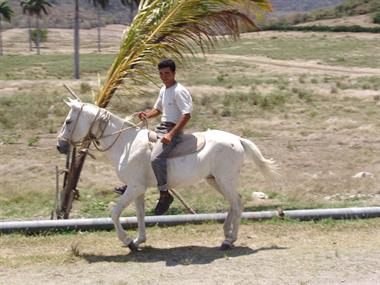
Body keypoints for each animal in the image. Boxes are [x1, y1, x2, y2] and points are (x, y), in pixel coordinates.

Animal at [57, 98, 280, 250]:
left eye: (68, 121)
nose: (60, 146)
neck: (126, 144)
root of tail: (238, 139)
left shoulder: (134, 187)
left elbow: (114, 213)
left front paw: (128, 241)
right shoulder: (137, 189)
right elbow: (140, 214)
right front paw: (139, 240)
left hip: (225, 180)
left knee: (237, 203)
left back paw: (229, 240)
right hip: (215, 180)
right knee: (235, 203)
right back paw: (227, 235)